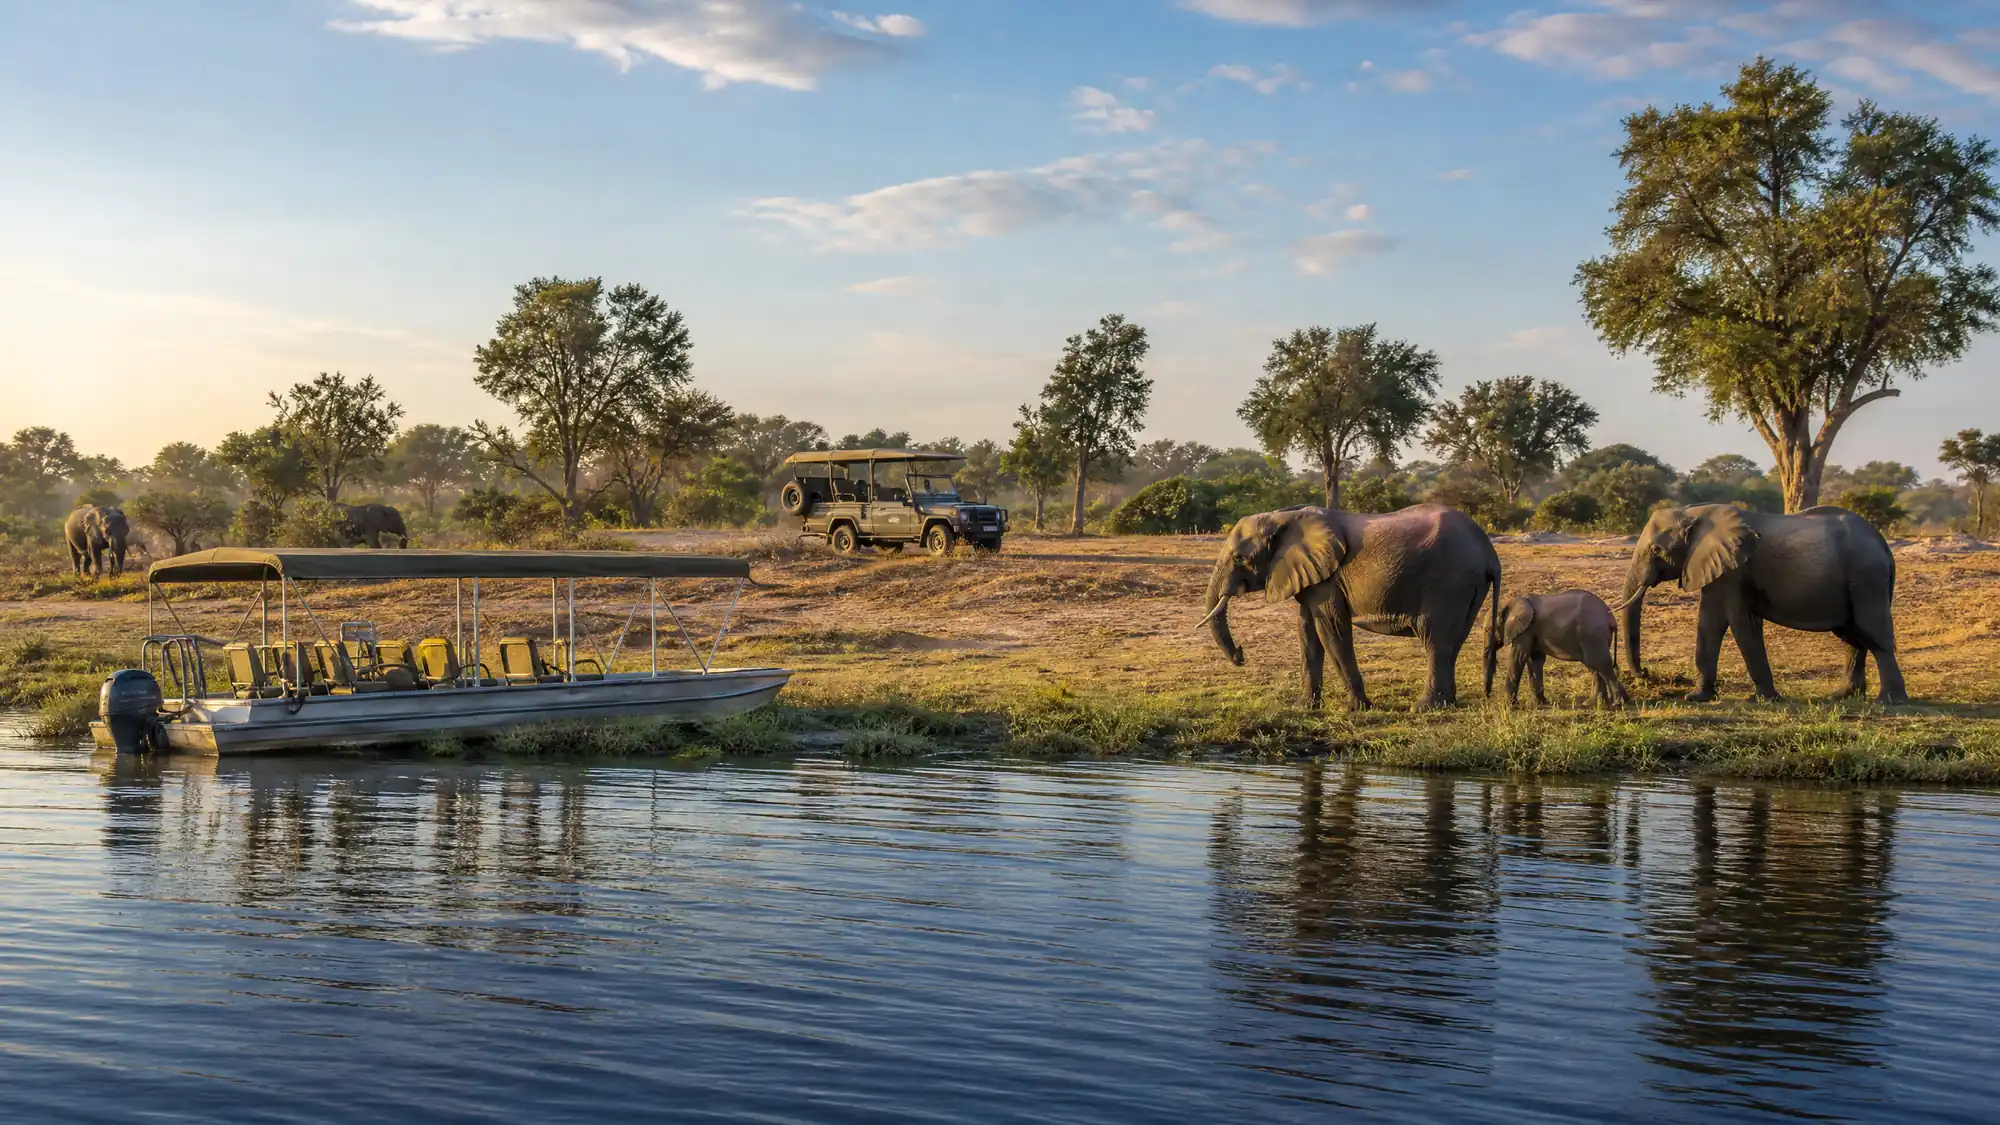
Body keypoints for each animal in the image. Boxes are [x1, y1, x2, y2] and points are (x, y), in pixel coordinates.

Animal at [1201, 504, 1503, 711]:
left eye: (1239, 558)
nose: (1241, 655)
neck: (1282, 517)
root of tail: (1490, 553)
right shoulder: (1311, 575)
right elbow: (1307, 631)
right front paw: (1304, 708)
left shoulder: (1327, 578)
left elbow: (1330, 627)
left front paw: (1358, 709)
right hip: (1468, 587)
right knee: (1454, 640)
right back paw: (1447, 703)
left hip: (1448, 581)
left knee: (1434, 638)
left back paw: (1423, 708)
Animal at [1484, 589, 1629, 708]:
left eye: (1487, 629)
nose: (1488, 696)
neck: (1511, 601)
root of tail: (1610, 617)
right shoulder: (1532, 630)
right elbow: (1535, 660)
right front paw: (1541, 703)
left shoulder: (1525, 630)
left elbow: (1518, 657)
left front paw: (1507, 706)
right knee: (1596, 667)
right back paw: (1593, 704)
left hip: (1592, 634)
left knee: (1600, 664)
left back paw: (1619, 703)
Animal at [1617, 504, 1906, 704]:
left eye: (1656, 551)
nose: (1645, 674)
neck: (1693, 512)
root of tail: (1884, 545)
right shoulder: (1719, 567)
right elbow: (1710, 623)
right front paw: (1697, 697)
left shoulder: (1733, 570)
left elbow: (1738, 623)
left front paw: (1763, 700)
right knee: (1854, 636)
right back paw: (1843, 695)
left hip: (1866, 577)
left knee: (1875, 635)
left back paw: (1889, 702)